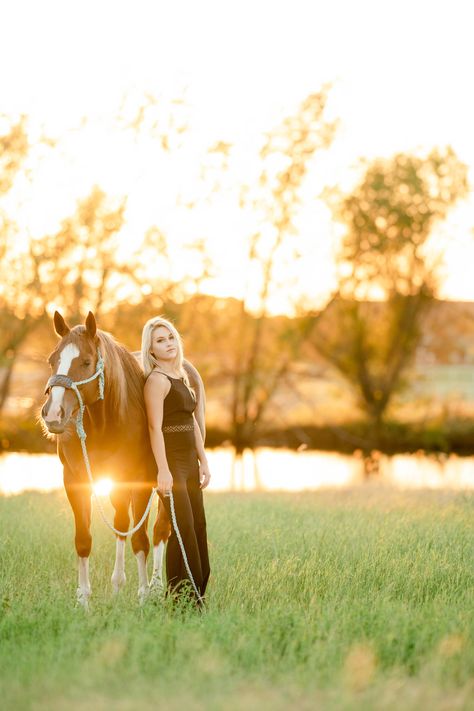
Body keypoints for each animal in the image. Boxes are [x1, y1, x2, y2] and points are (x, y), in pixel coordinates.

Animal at [43, 312, 207, 608]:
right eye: (52, 360)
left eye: (86, 362)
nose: (52, 415)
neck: (105, 420)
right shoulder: (75, 480)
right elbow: (84, 538)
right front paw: (83, 600)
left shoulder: (140, 480)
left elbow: (141, 539)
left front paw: (142, 596)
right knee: (121, 525)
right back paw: (119, 585)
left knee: (160, 529)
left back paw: (155, 587)